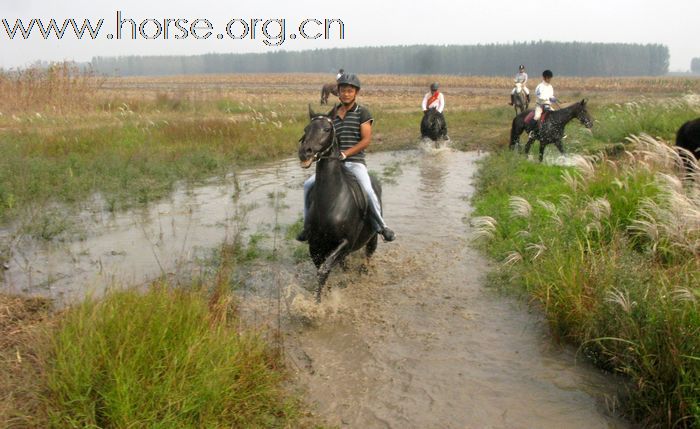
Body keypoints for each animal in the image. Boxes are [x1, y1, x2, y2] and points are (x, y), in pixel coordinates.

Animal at [298, 105, 380, 300]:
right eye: (306, 129)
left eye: (327, 129)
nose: (305, 152)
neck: (331, 201)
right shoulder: (315, 244)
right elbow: (321, 270)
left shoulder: (345, 243)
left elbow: (324, 270)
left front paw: (317, 303)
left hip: (373, 236)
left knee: (369, 253)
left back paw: (365, 269)